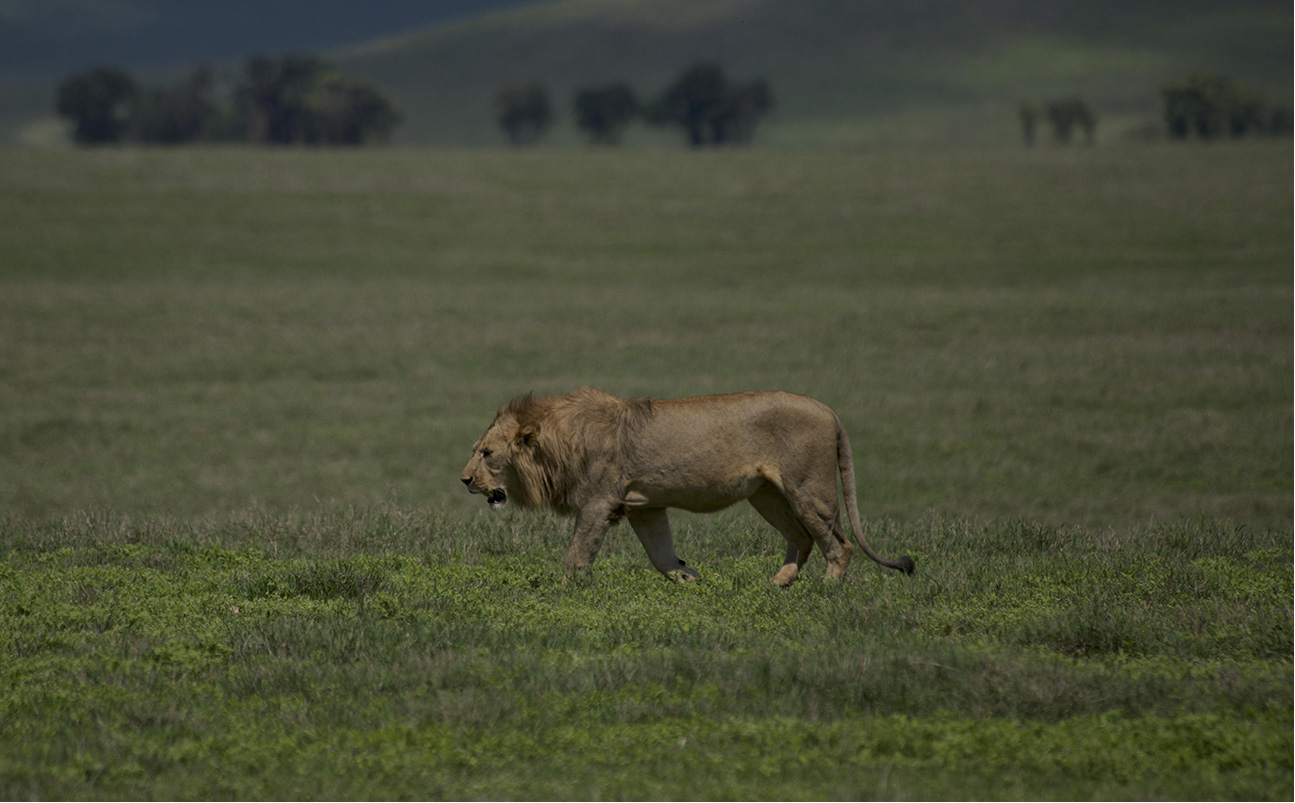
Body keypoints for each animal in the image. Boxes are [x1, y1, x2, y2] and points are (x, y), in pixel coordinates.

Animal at [461, 388, 916, 582]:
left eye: (486, 453)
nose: (464, 480)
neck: (556, 444)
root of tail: (830, 410)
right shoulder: (644, 506)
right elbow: (661, 555)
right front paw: (690, 581)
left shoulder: (599, 502)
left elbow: (576, 558)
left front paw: (565, 596)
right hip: (767, 495)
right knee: (801, 539)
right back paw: (778, 585)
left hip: (809, 490)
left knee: (838, 545)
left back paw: (824, 591)